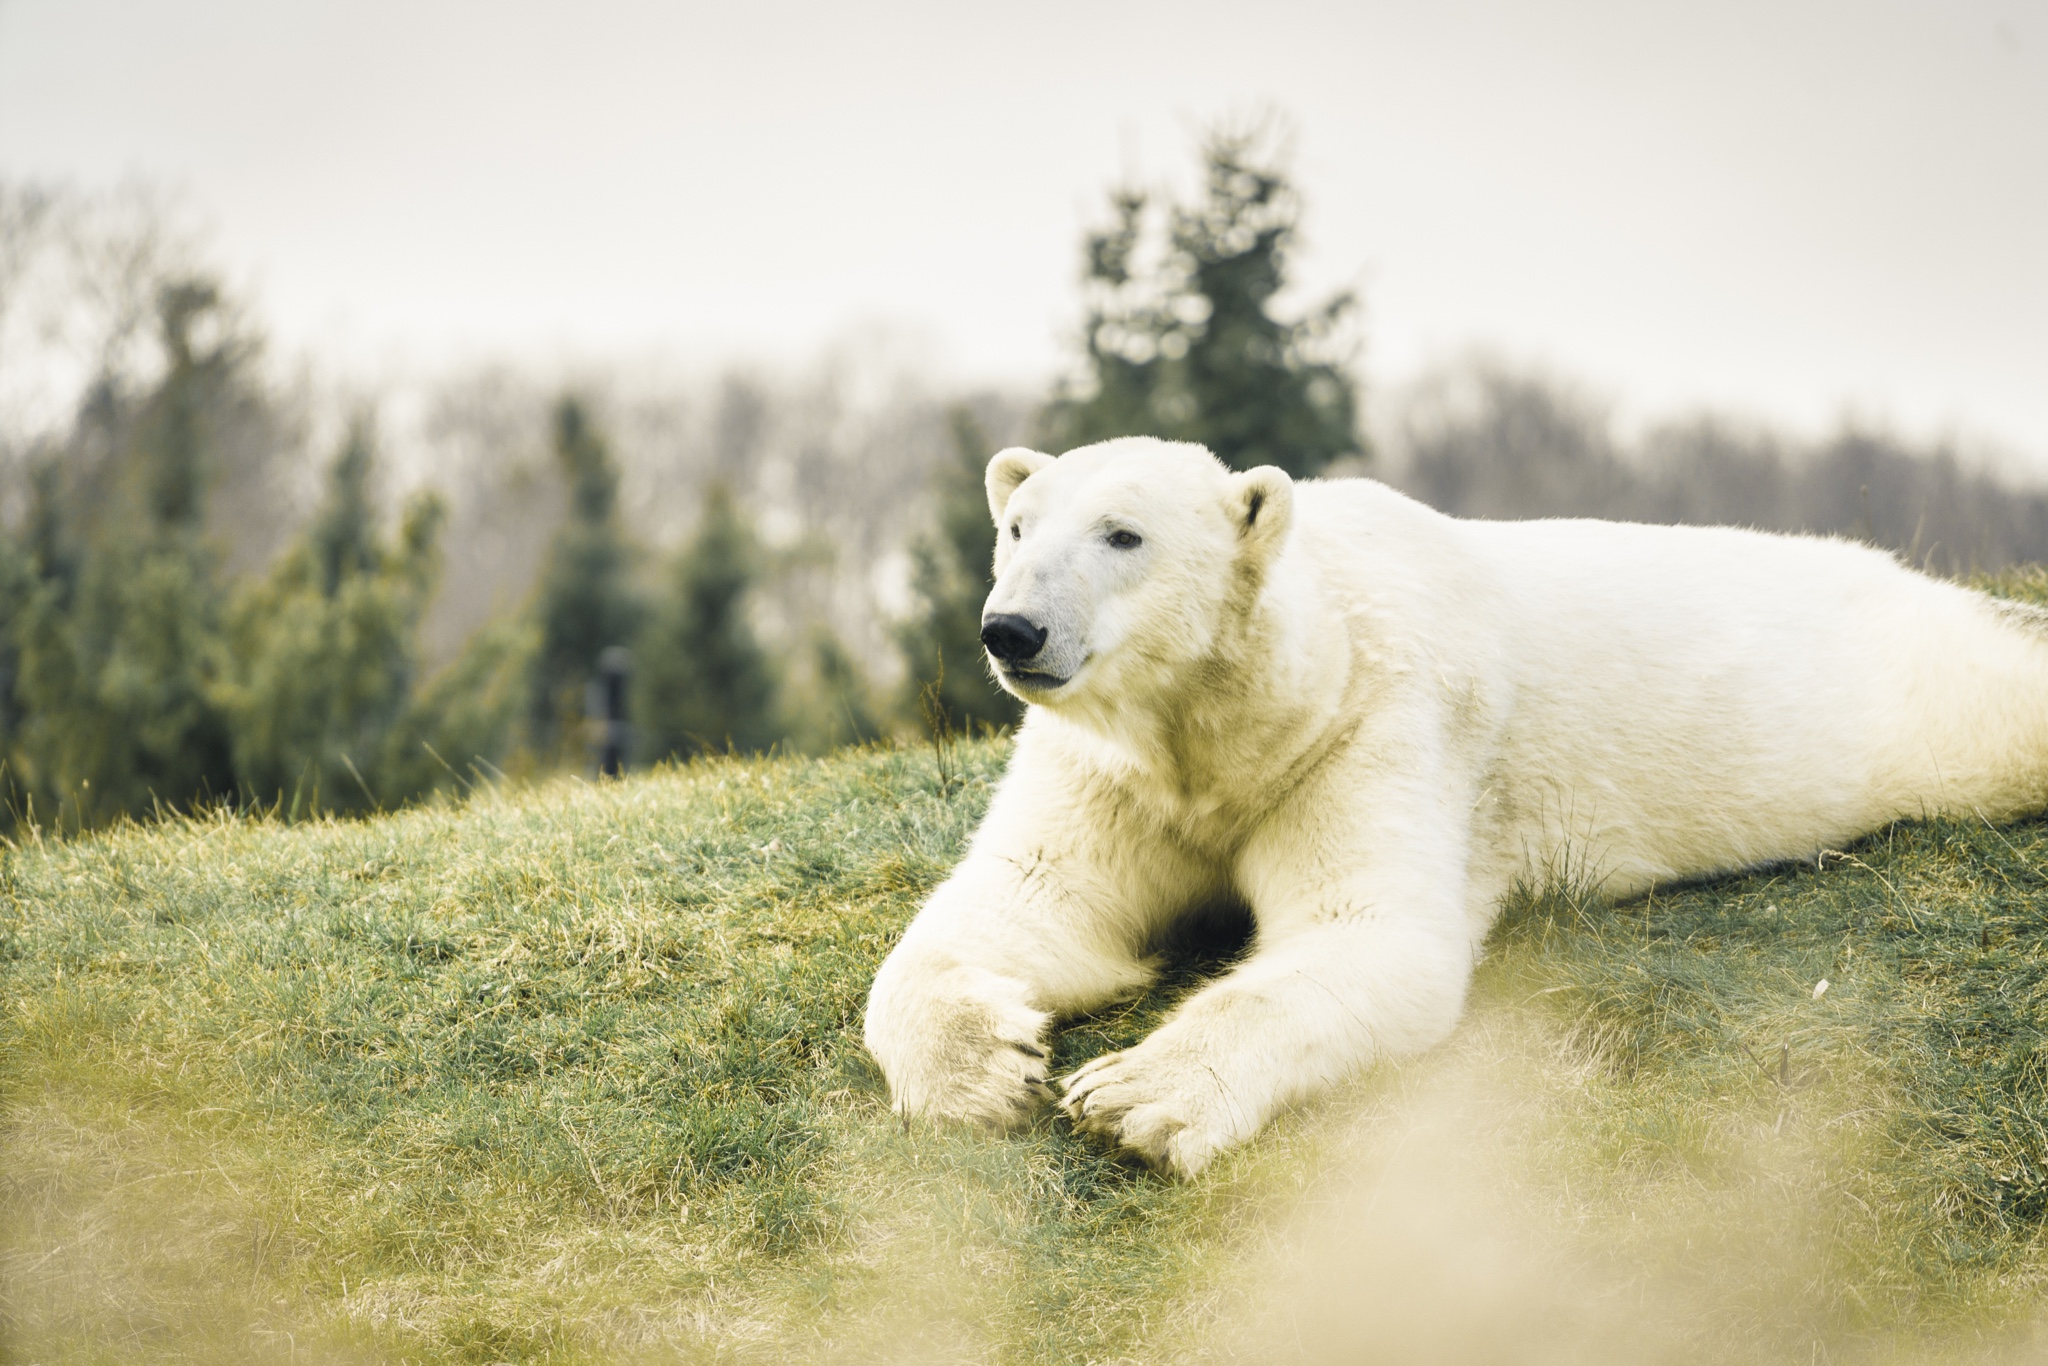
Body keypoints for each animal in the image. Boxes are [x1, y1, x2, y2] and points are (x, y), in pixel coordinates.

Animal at [860, 436, 2048, 1179]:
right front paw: (981, 1068)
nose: (1011, 629)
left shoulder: (1375, 727)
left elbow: (1372, 933)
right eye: (1018, 526)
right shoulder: (1113, 770)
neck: (1241, 722)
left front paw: (1131, 1095)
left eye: (1122, 534)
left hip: (1912, 703)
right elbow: (1032, 899)